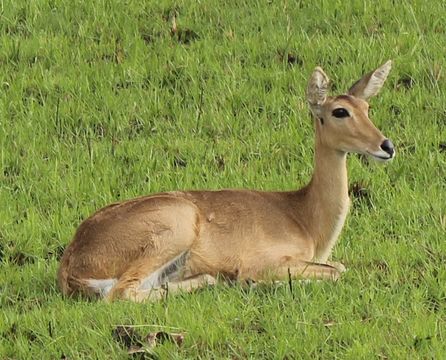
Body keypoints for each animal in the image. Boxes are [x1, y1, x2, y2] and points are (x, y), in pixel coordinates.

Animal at [58, 61, 394, 300]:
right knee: (120, 294)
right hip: (175, 226)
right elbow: (336, 269)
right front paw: (253, 283)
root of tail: (70, 267)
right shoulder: (265, 259)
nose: (386, 146)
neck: (305, 219)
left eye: (366, 108)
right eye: (339, 111)